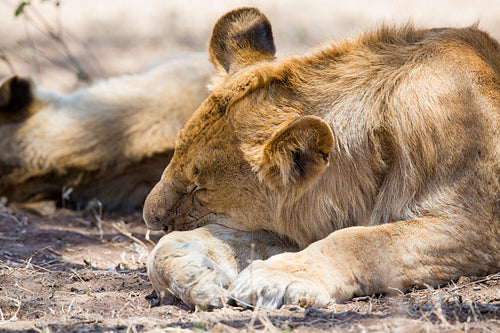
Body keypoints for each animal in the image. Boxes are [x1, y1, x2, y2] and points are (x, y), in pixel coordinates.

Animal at [143, 7, 500, 308]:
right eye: (174, 154)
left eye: (199, 189)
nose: (150, 220)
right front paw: (191, 269)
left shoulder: (477, 225)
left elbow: (362, 240)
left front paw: (278, 277)